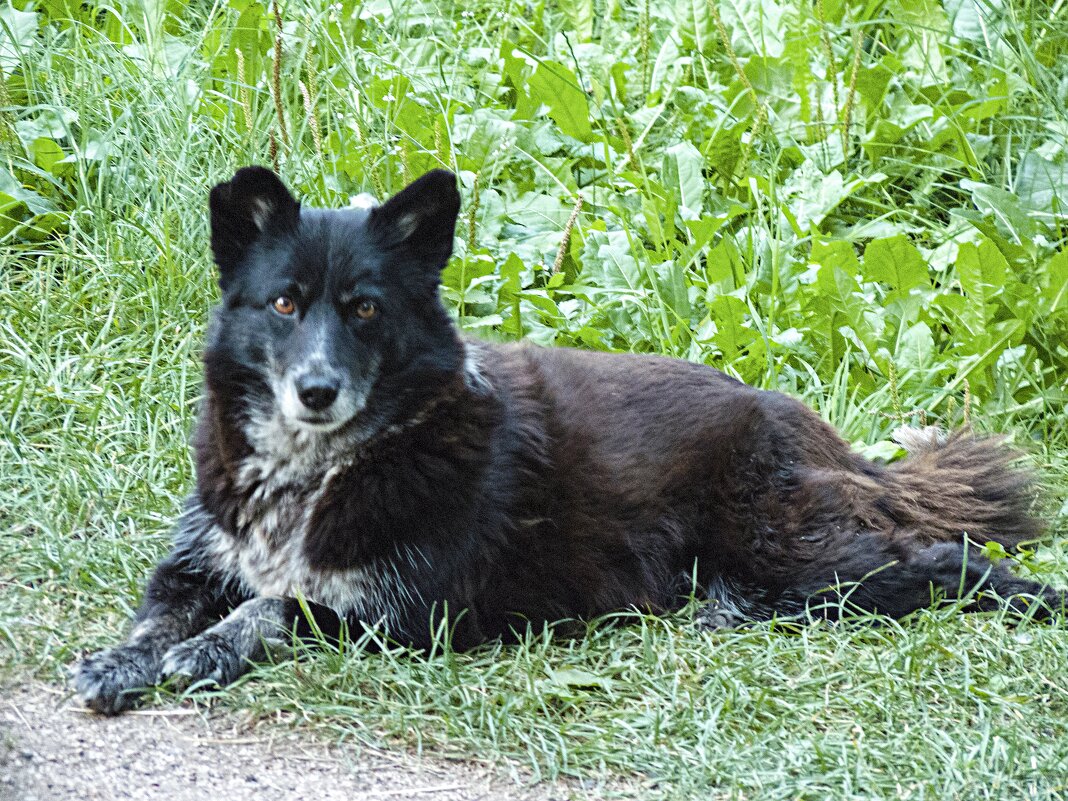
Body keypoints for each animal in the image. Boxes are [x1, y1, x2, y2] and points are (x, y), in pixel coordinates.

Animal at [73, 167, 1059, 713]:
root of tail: (818, 432)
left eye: (365, 309)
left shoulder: (406, 613)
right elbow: (158, 614)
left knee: (946, 561)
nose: (316, 391)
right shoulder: (195, 563)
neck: (322, 468)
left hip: (801, 549)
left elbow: (275, 607)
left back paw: (1036, 598)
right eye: (284, 303)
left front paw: (210, 647)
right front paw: (121, 660)